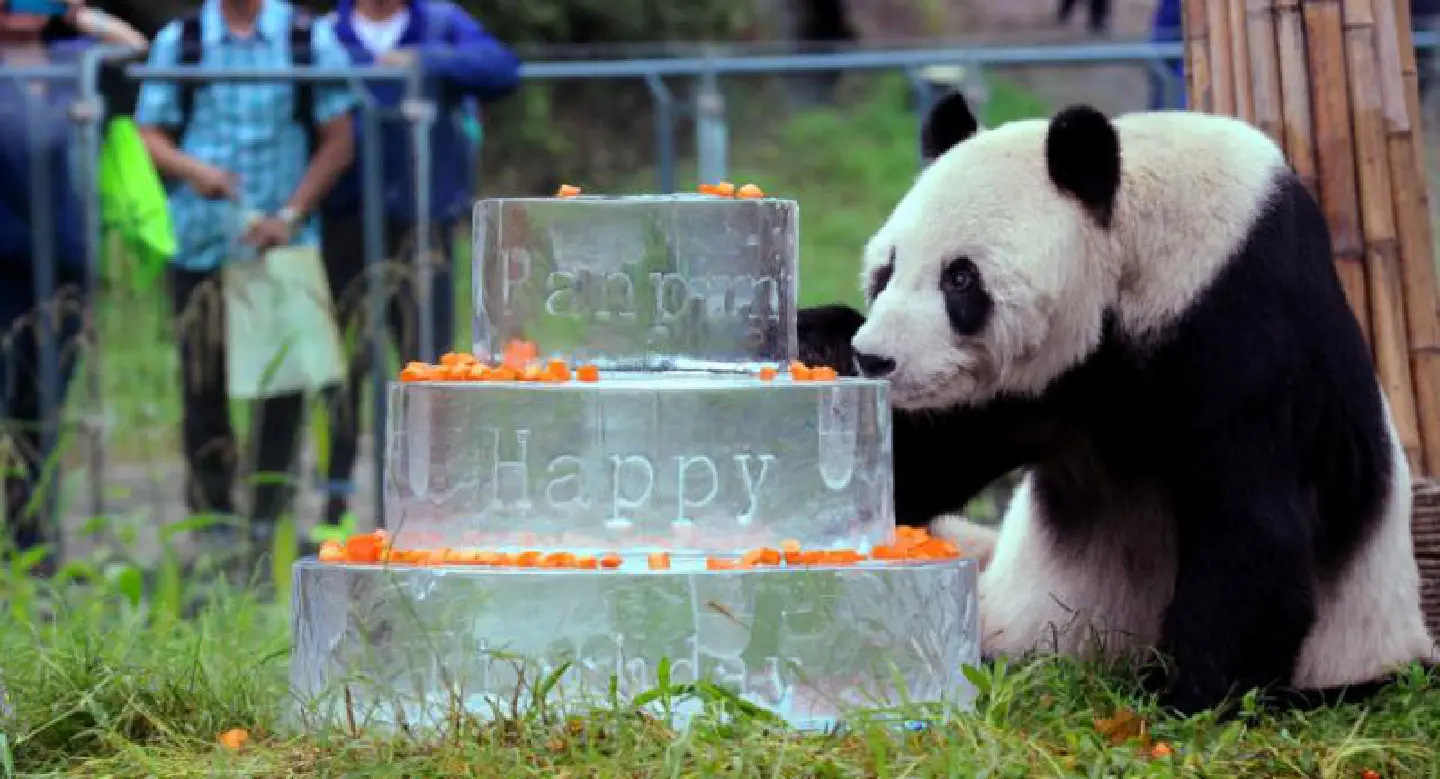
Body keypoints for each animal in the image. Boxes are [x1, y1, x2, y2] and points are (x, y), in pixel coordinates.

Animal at [797, 93, 1437, 715]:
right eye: (886, 270)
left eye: (960, 279)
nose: (877, 359)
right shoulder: (1041, 387)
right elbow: (923, 468)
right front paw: (819, 343)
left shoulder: (1246, 324)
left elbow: (1251, 525)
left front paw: (1187, 697)